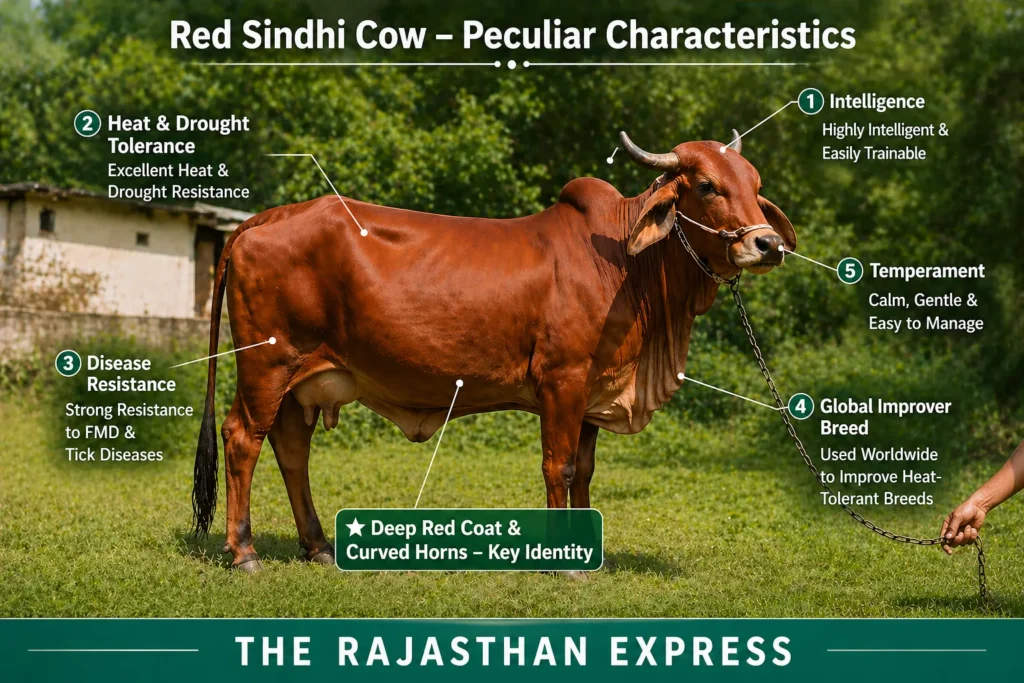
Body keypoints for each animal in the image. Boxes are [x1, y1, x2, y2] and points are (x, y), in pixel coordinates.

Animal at [190, 131, 797, 572]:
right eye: (706, 185)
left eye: (754, 183)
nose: (767, 243)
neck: (629, 266)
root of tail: (259, 220)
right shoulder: (562, 380)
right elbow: (560, 466)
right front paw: (566, 562)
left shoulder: (593, 390)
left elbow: (586, 470)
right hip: (268, 365)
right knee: (242, 439)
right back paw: (244, 553)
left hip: (300, 381)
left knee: (291, 449)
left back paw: (317, 547)